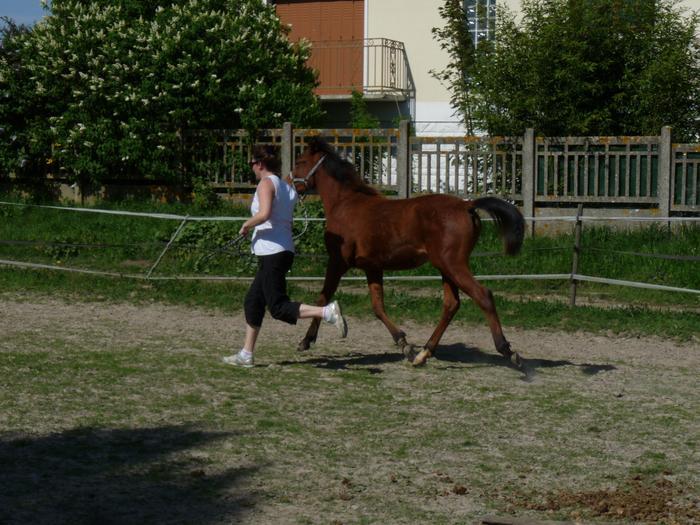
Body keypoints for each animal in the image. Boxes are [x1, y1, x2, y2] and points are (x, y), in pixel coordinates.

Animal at [290, 136, 524, 364]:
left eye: (300, 162)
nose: (289, 182)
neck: (345, 204)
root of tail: (467, 205)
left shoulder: (338, 261)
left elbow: (323, 298)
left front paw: (305, 341)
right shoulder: (372, 267)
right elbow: (378, 307)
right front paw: (404, 344)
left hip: (452, 264)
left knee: (483, 295)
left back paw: (507, 349)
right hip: (445, 268)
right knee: (451, 304)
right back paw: (424, 353)